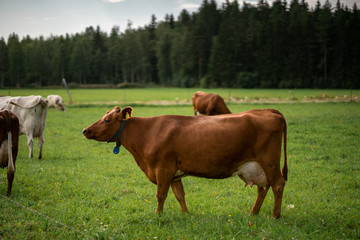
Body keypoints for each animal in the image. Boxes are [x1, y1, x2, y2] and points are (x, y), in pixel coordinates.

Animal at [83, 106, 288, 218]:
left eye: (107, 119)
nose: (85, 130)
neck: (147, 133)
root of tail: (268, 110)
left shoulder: (163, 169)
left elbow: (161, 195)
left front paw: (158, 216)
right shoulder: (174, 173)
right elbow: (180, 195)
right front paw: (185, 214)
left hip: (269, 162)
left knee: (277, 184)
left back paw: (275, 215)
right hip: (257, 167)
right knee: (263, 188)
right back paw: (253, 213)